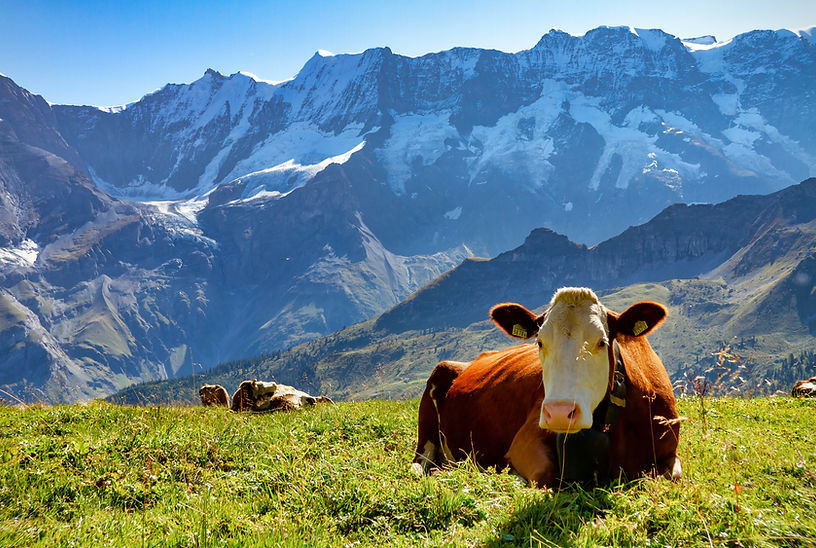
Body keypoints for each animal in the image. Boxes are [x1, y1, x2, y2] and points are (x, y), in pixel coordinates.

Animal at [412, 287, 682, 488]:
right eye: (540, 342)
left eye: (602, 342)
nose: (560, 413)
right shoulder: (525, 439)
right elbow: (544, 473)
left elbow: (672, 476)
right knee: (421, 462)